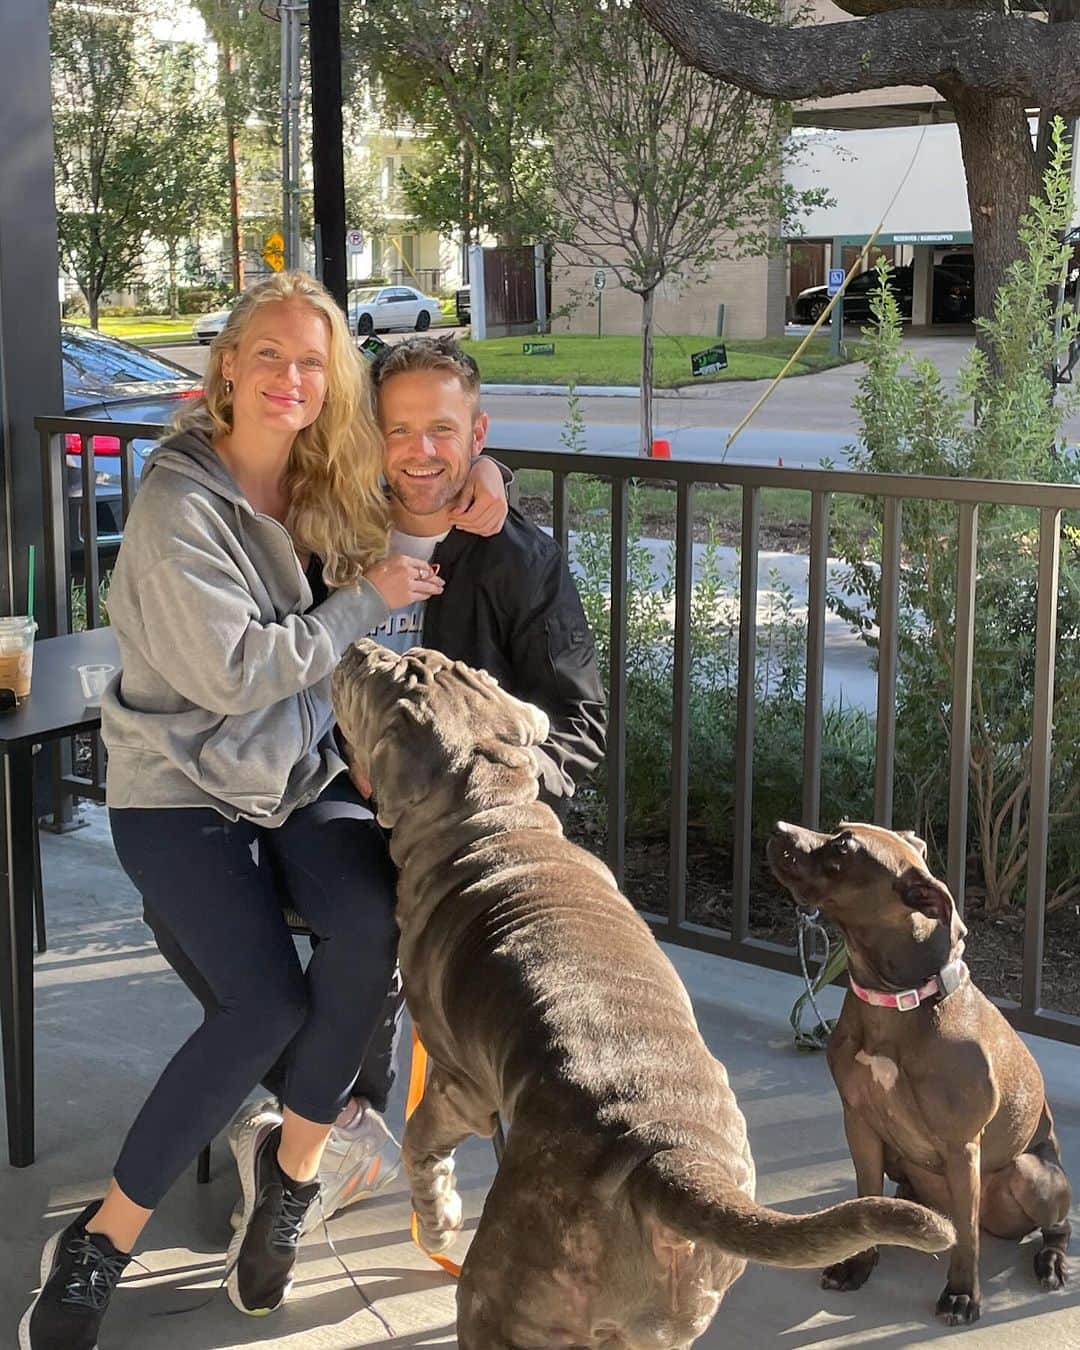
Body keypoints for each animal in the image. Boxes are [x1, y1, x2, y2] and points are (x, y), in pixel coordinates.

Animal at [330, 645, 955, 1350]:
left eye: (391, 675)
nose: (357, 648)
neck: (488, 815)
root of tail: (669, 1164)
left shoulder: (457, 1080)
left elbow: (421, 1143)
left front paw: (437, 1220)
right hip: (669, 1316)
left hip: (500, 1294)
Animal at [766, 820, 1069, 1328]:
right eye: (839, 830)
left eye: (844, 848)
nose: (778, 828)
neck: (895, 1000)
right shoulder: (859, 1124)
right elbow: (866, 1196)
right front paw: (858, 1264)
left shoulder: (962, 1147)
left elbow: (966, 1237)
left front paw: (962, 1294)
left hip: (1034, 1176)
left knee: (1054, 1228)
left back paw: (1050, 1262)